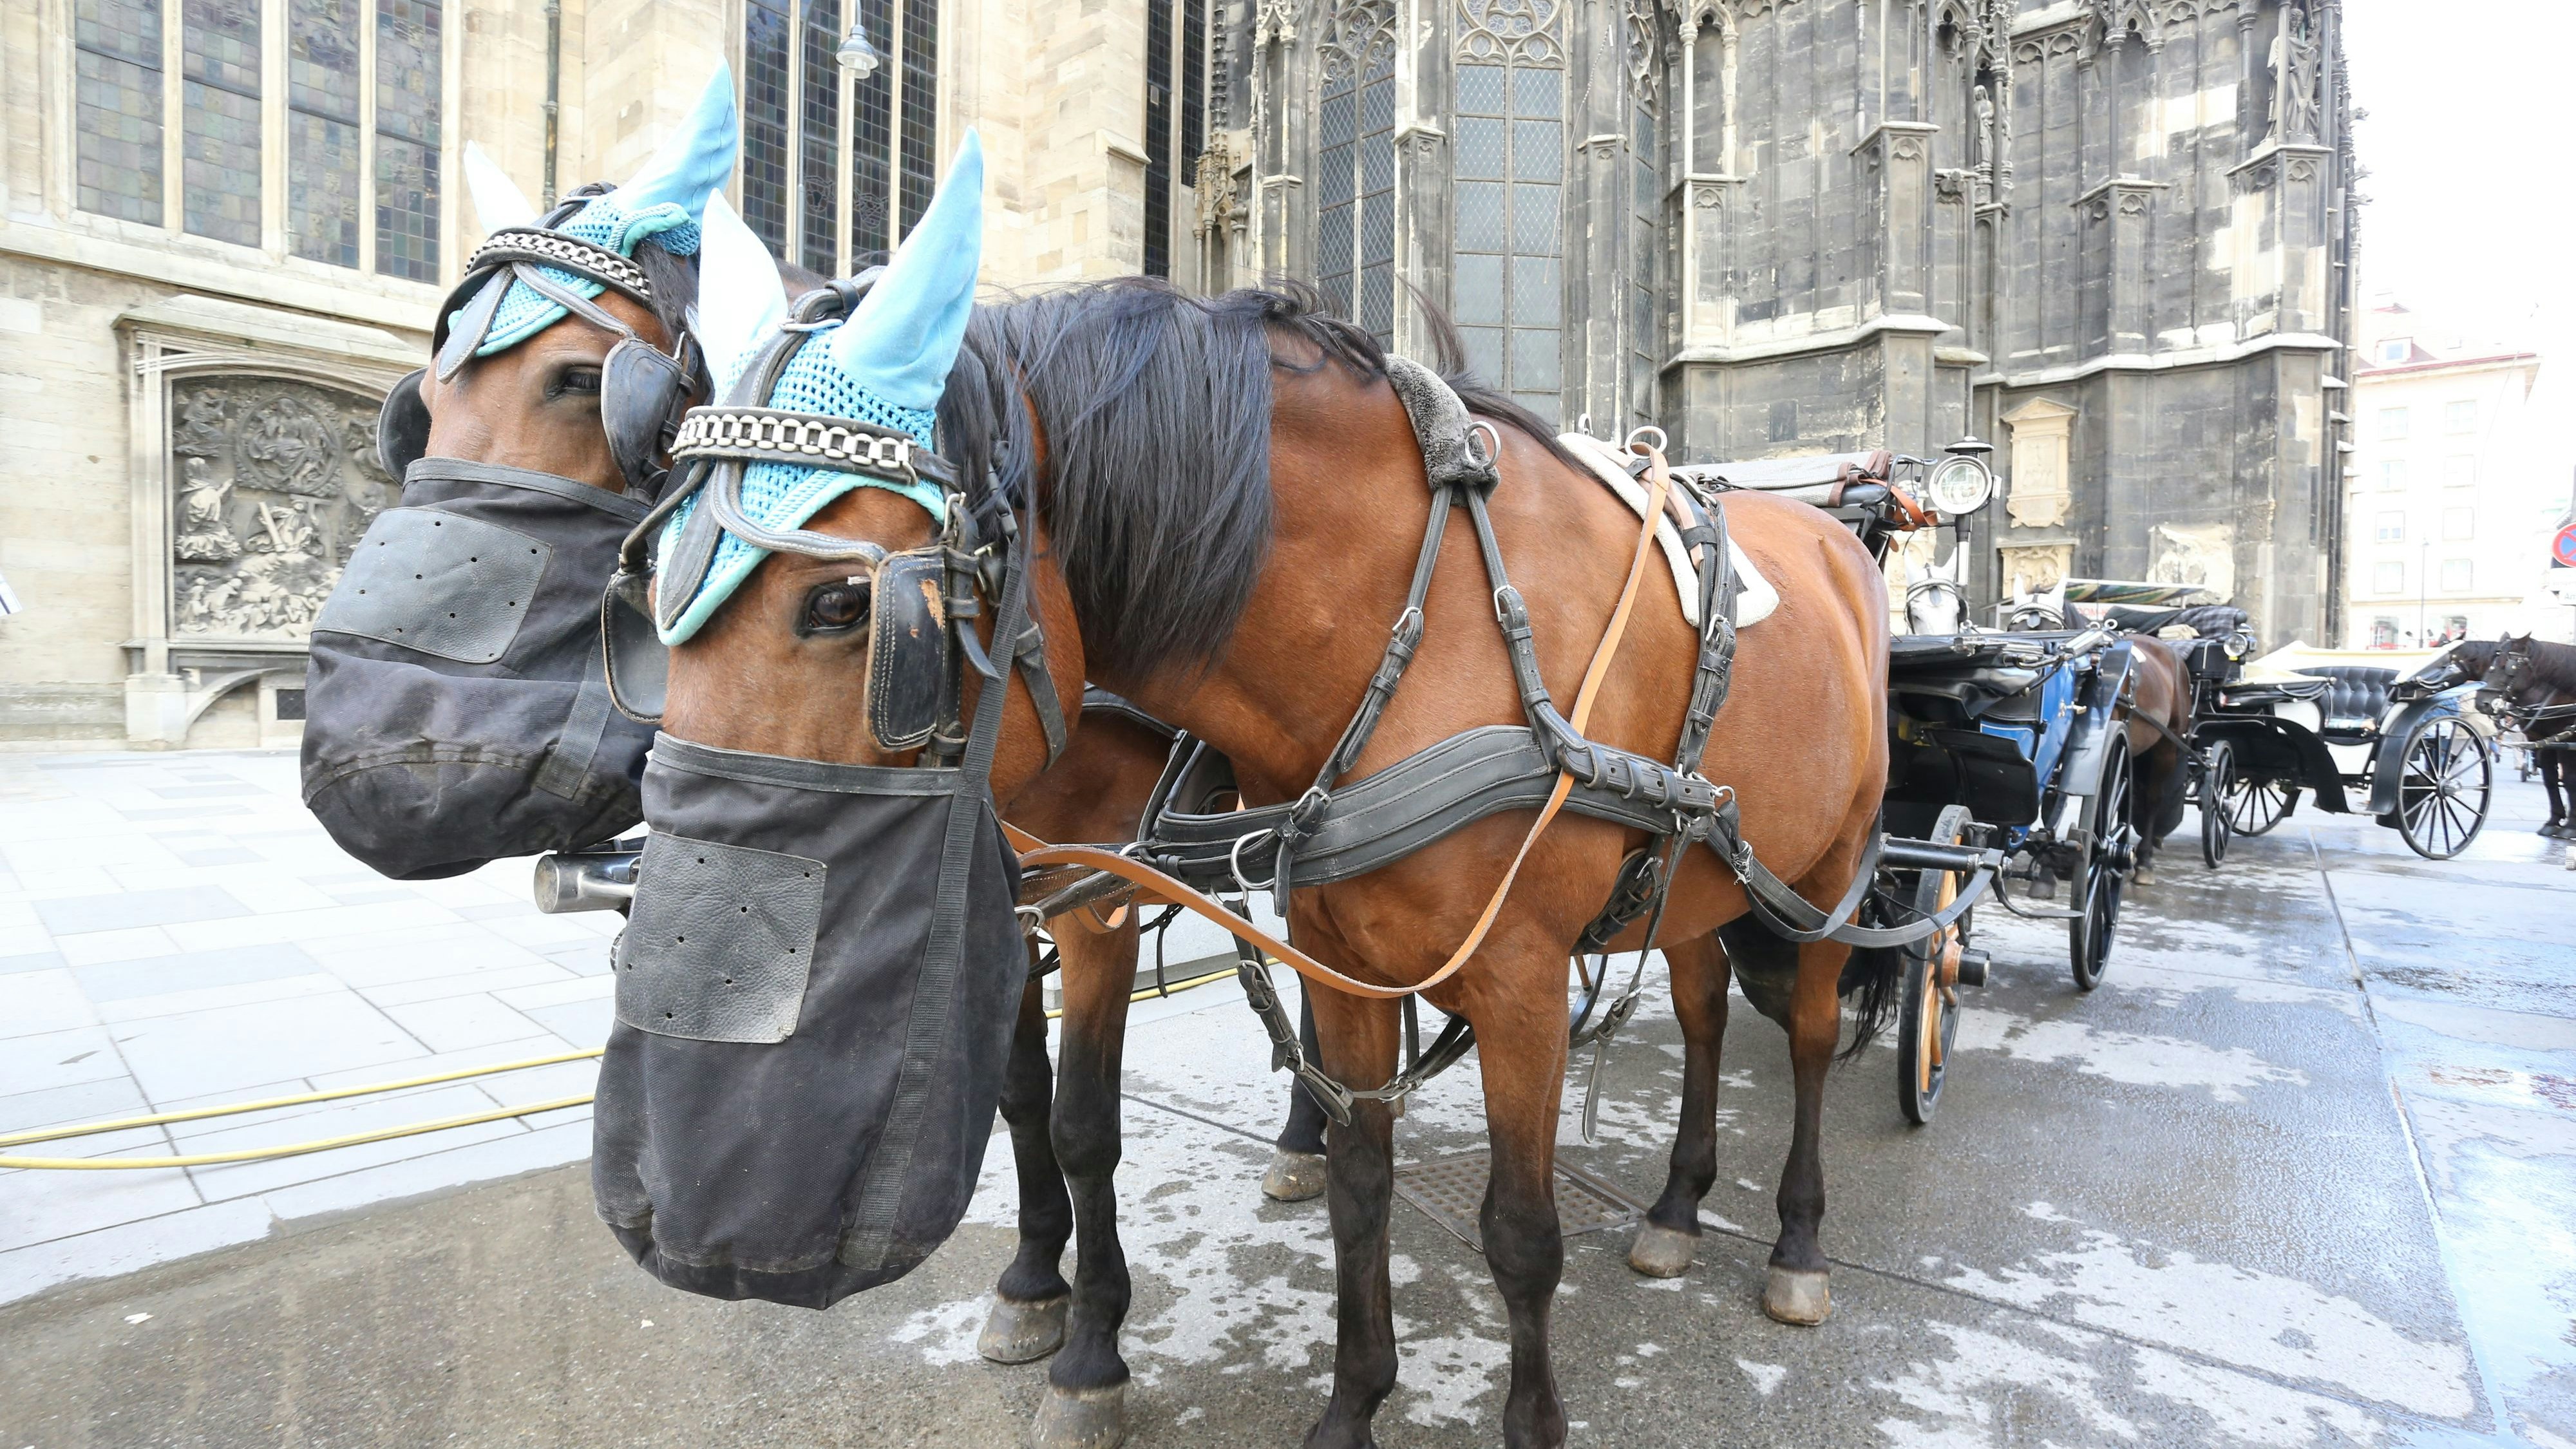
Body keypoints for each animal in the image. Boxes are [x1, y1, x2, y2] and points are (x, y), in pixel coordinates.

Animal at [654, 232, 1909, 1447]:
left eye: (843, 608)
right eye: (653, 582)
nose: (706, 934)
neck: (1427, 616)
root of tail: (1832, 530)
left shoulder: (1511, 977)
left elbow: (1518, 1232)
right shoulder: (1279, 945)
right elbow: (1350, 1185)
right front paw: (1343, 1399)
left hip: (1831, 868)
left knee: (1806, 1035)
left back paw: (1797, 1244)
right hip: (1697, 871)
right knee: (1701, 1011)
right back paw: (1678, 1204)